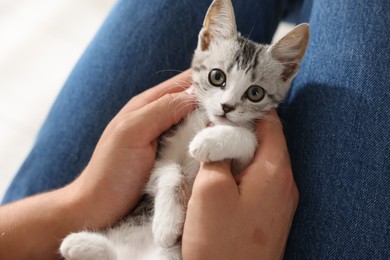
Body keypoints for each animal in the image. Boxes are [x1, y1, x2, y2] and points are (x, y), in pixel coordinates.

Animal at [59, 1, 310, 258]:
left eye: (255, 93)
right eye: (217, 76)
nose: (226, 106)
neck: (205, 119)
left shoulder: (243, 164)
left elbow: (248, 140)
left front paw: (208, 141)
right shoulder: (160, 155)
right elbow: (170, 171)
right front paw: (167, 226)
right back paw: (78, 243)